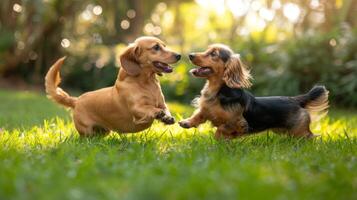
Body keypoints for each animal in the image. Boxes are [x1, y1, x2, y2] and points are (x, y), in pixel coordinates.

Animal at [46, 36, 181, 136]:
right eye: (156, 47)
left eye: (164, 46)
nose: (179, 55)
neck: (147, 84)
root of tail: (76, 100)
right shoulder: (136, 109)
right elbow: (150, 109)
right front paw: (158, 113)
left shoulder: (162, 104)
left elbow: (165, 109)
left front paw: (167, 118)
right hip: (86, 131)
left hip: (104, 131)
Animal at [178, 43, 328, 138]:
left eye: (213, 54)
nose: (190, 55)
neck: (217, 90)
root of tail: (295, 99)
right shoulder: (206, 109)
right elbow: (199, 115)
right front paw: (187, 122)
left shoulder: (238, 122)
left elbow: (223, 128)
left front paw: (220, 138)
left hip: (298, 131)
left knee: (311, 136)